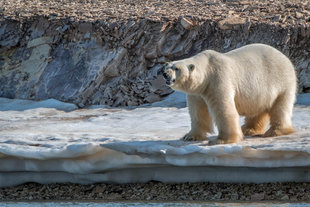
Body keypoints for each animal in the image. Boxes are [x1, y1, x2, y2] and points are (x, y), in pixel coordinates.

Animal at [162, 43, 296, 144]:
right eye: (167, 67)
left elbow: (223, 109)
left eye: (176, 68)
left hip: (282, 82)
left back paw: (275, 131)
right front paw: (190, 136)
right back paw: (248, 129)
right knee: (258, 108)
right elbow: (197, 111)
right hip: (262, 91)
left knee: (280, 107)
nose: (165, 74)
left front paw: (221, 140)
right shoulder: (197, 91)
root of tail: (285, 57)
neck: (207, 70)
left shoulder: (218, 79)